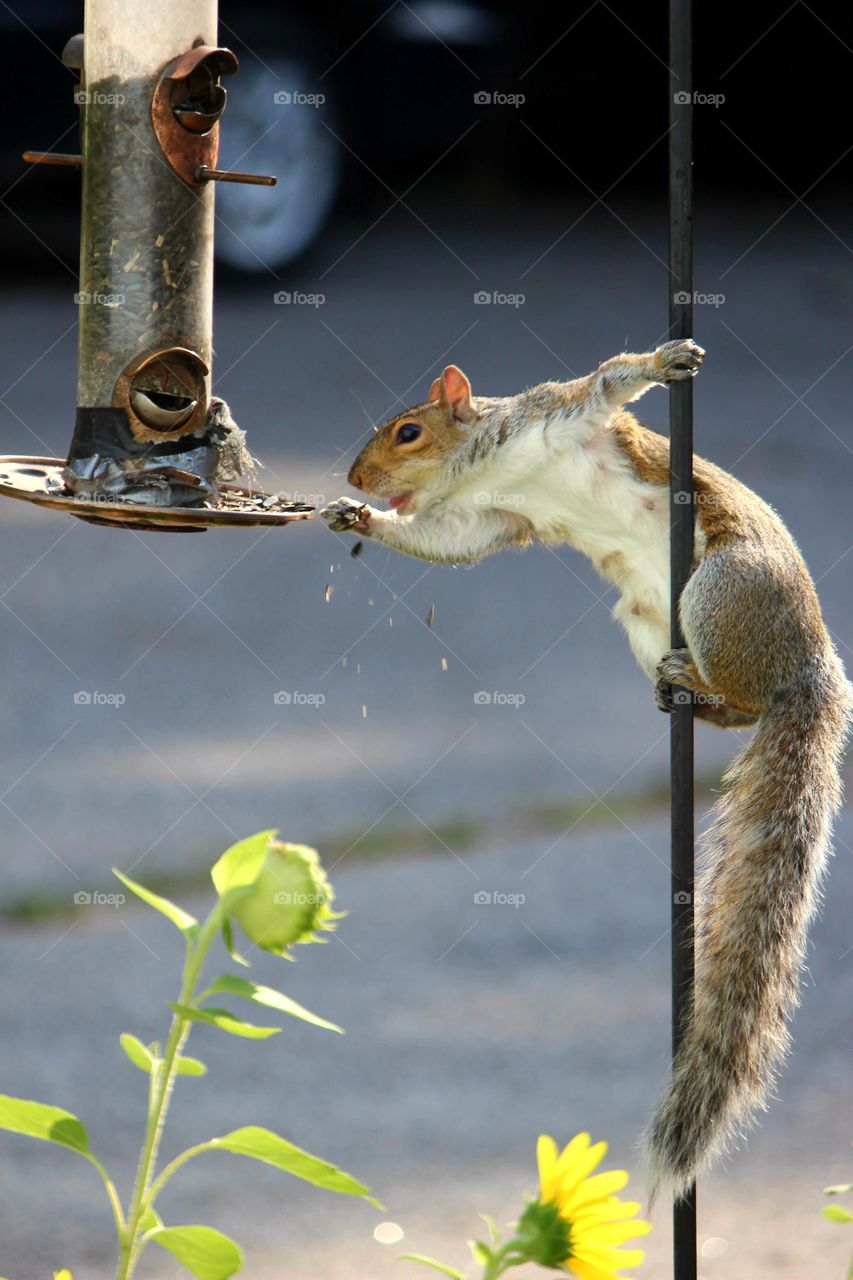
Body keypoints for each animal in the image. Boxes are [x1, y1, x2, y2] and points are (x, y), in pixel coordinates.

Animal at [321, 338, 851, 1200]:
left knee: (745, 694)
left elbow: (608, 381)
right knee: (734, 713)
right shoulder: (491, 517)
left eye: (406, 430)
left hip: (719, 590)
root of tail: (810, 668)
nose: (356, 481)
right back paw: (680, 692)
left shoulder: (563, 413)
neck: (486, 465)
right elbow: (445, 541)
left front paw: (666, 360)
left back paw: (702, 681)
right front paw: (358, 520)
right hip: (642, 617)